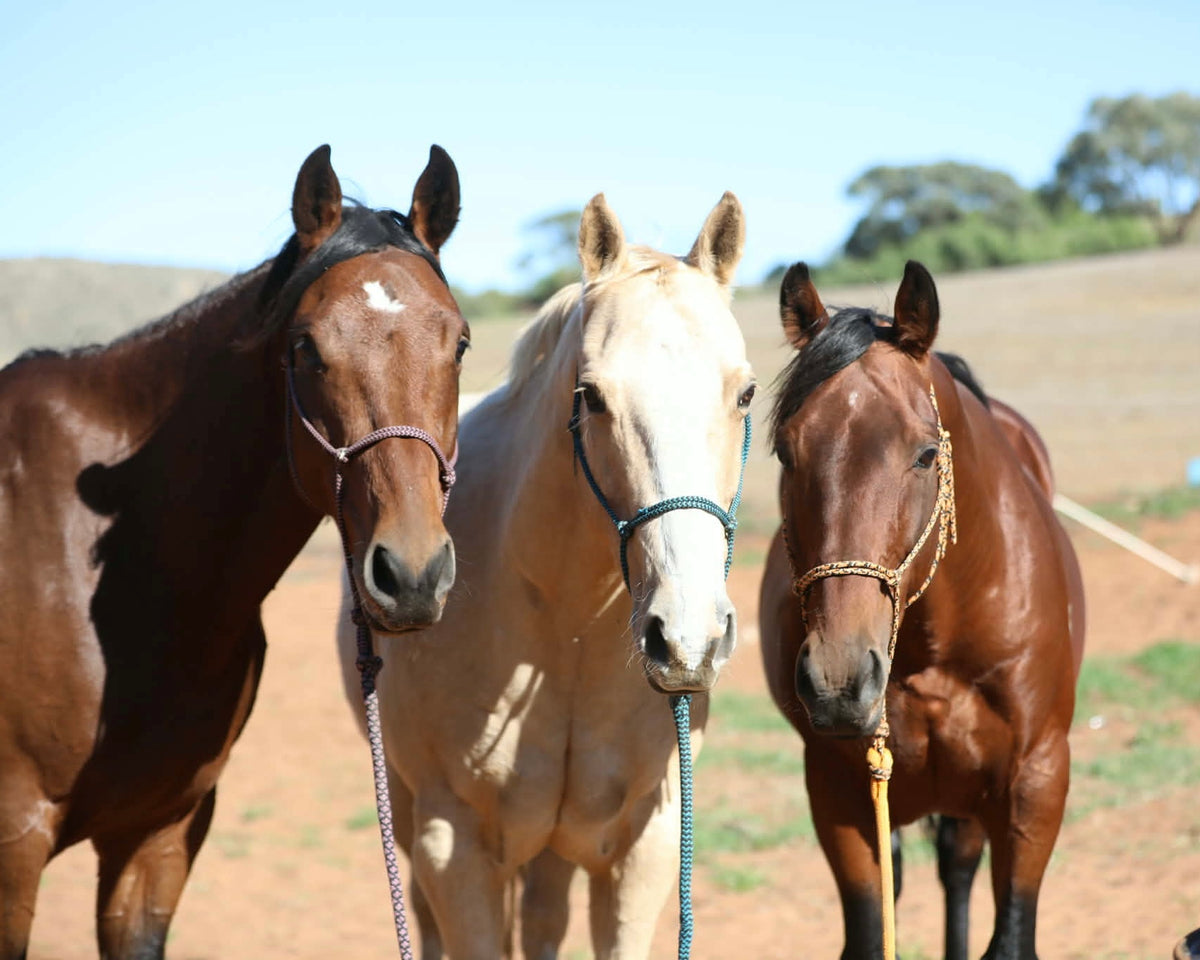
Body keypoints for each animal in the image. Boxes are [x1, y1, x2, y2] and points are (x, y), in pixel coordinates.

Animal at [337, 191, 754, 958]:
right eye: (590, 395)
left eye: (745, 394)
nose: (688, 641)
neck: (567, 626)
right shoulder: (452, 848)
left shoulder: (646, 846)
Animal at [758, 260, 1085, 960]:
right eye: (786, 453)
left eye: (926, 454)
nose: (839, 679)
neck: (936, 645)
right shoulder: (838, 792)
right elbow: (870, 931)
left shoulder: (1037, 783)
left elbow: (1009, 936)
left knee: (956, 868)